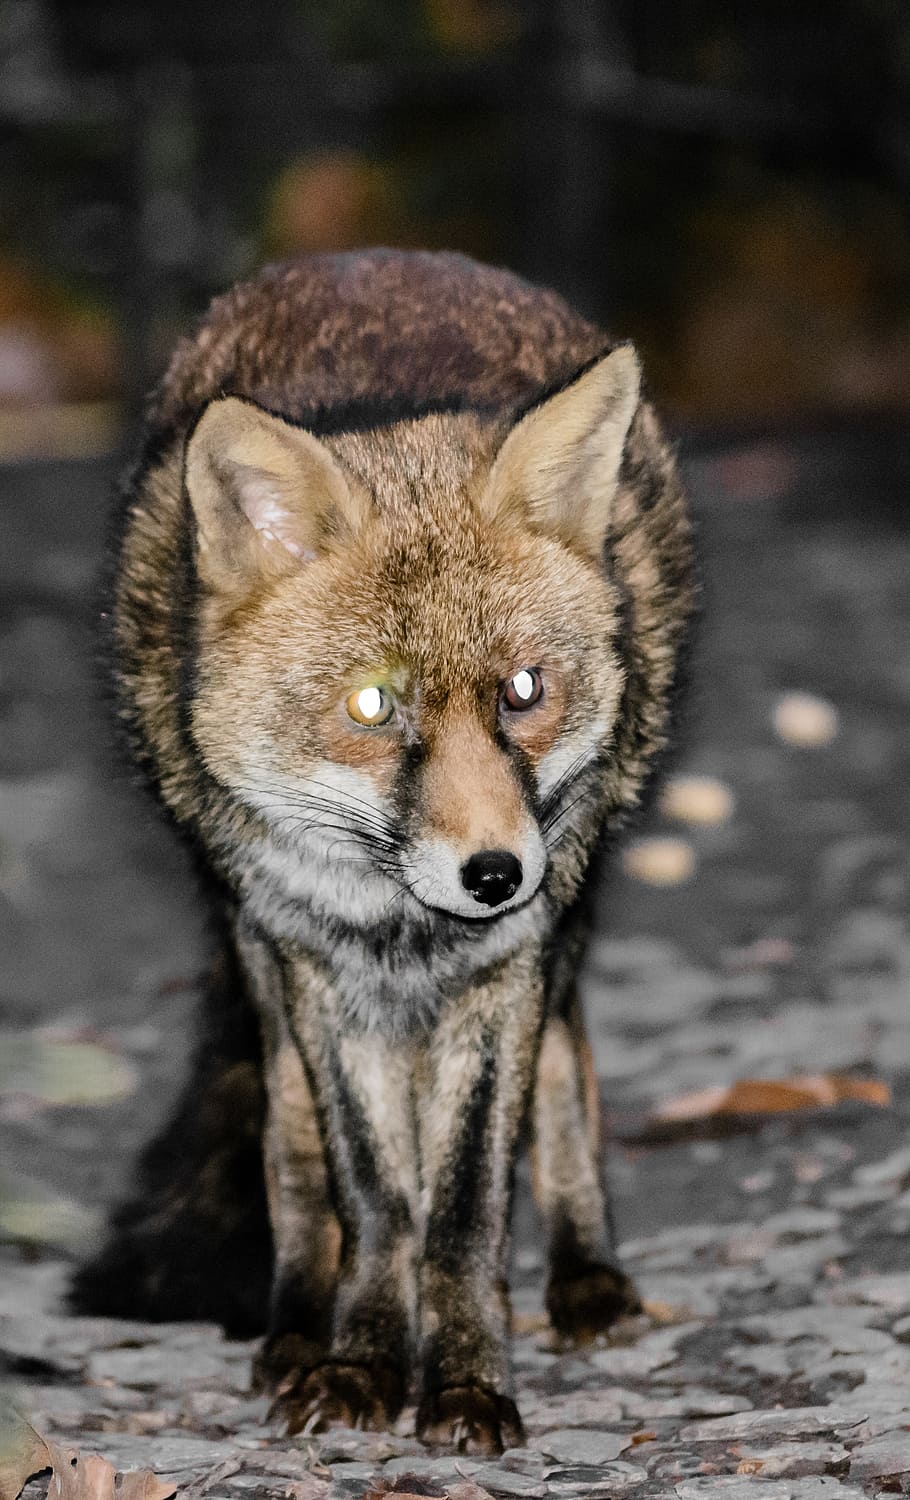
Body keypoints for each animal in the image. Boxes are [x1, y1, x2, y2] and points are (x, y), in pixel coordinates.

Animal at [73, 252, 698, 1458]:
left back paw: (587, 1278)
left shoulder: (506, 971)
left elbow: (462, 1210)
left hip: (566, 916)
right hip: (264, 967)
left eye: (523, 691)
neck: (399, 926)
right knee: (290, 1150)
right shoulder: (317, 970)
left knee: (567, 1068)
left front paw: (463, 1382)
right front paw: (361, 1361)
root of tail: (387, 260)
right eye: (373, 704)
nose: (496, 874)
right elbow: (369, 1193)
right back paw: (295, 1332)